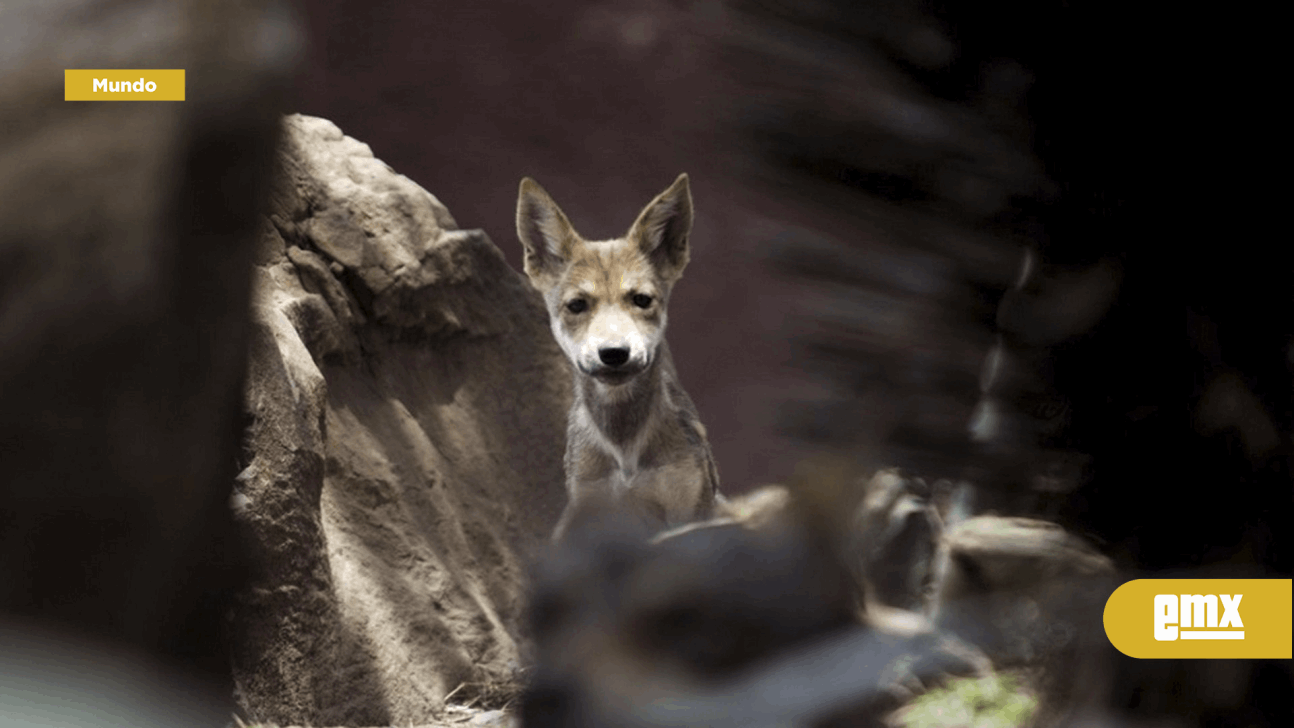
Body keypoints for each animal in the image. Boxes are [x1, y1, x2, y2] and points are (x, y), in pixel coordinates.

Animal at [515, 173, 722, 542]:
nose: (614, 353)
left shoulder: (689, 507)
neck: (625, 454)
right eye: (577, 305)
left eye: (641, 300)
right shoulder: (590, 510)